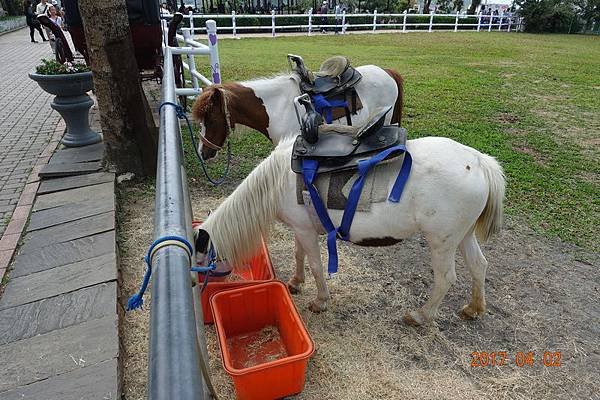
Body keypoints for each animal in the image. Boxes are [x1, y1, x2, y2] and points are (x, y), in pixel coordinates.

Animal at [197, 136, 506, 326]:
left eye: (201, 260)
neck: (278, 180)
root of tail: (479, 161)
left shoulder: (306, 231)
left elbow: (316, 265)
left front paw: (320, 301)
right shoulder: (301, 228)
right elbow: (299, 255)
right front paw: (296, 283)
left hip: (442, 242)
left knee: (445, 279)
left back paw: (420, 316)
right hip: (463, 236)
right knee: (479, 266)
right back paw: (474, 309)